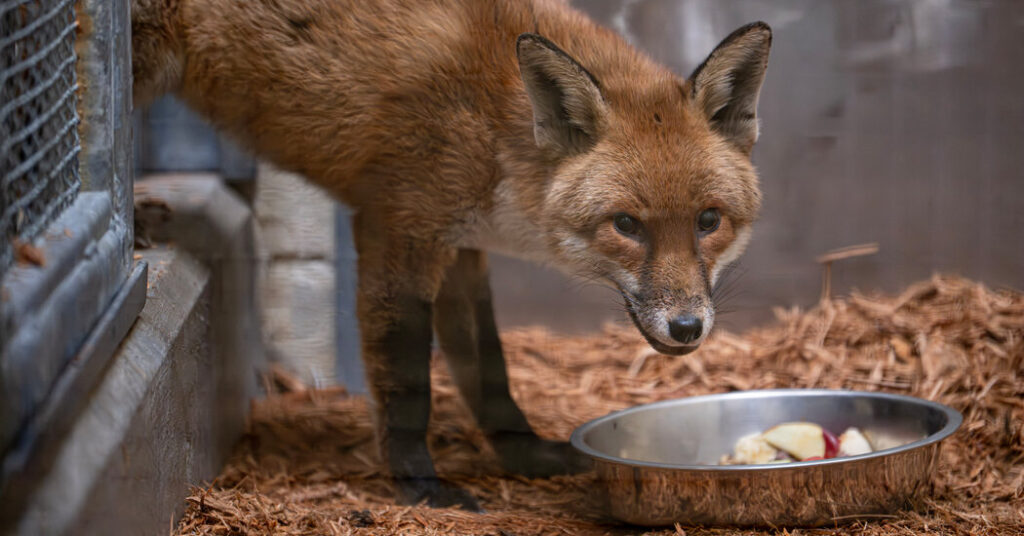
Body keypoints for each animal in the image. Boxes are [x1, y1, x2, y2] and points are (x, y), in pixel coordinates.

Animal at [130, 0, 771, 510]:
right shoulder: (398, 231)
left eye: (708, 221)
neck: (494, 124)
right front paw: (420, 485)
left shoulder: (461, 249)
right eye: (627, 225)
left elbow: (490, 372)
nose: (687, 328)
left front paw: (527, 456)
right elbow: (408, 383)